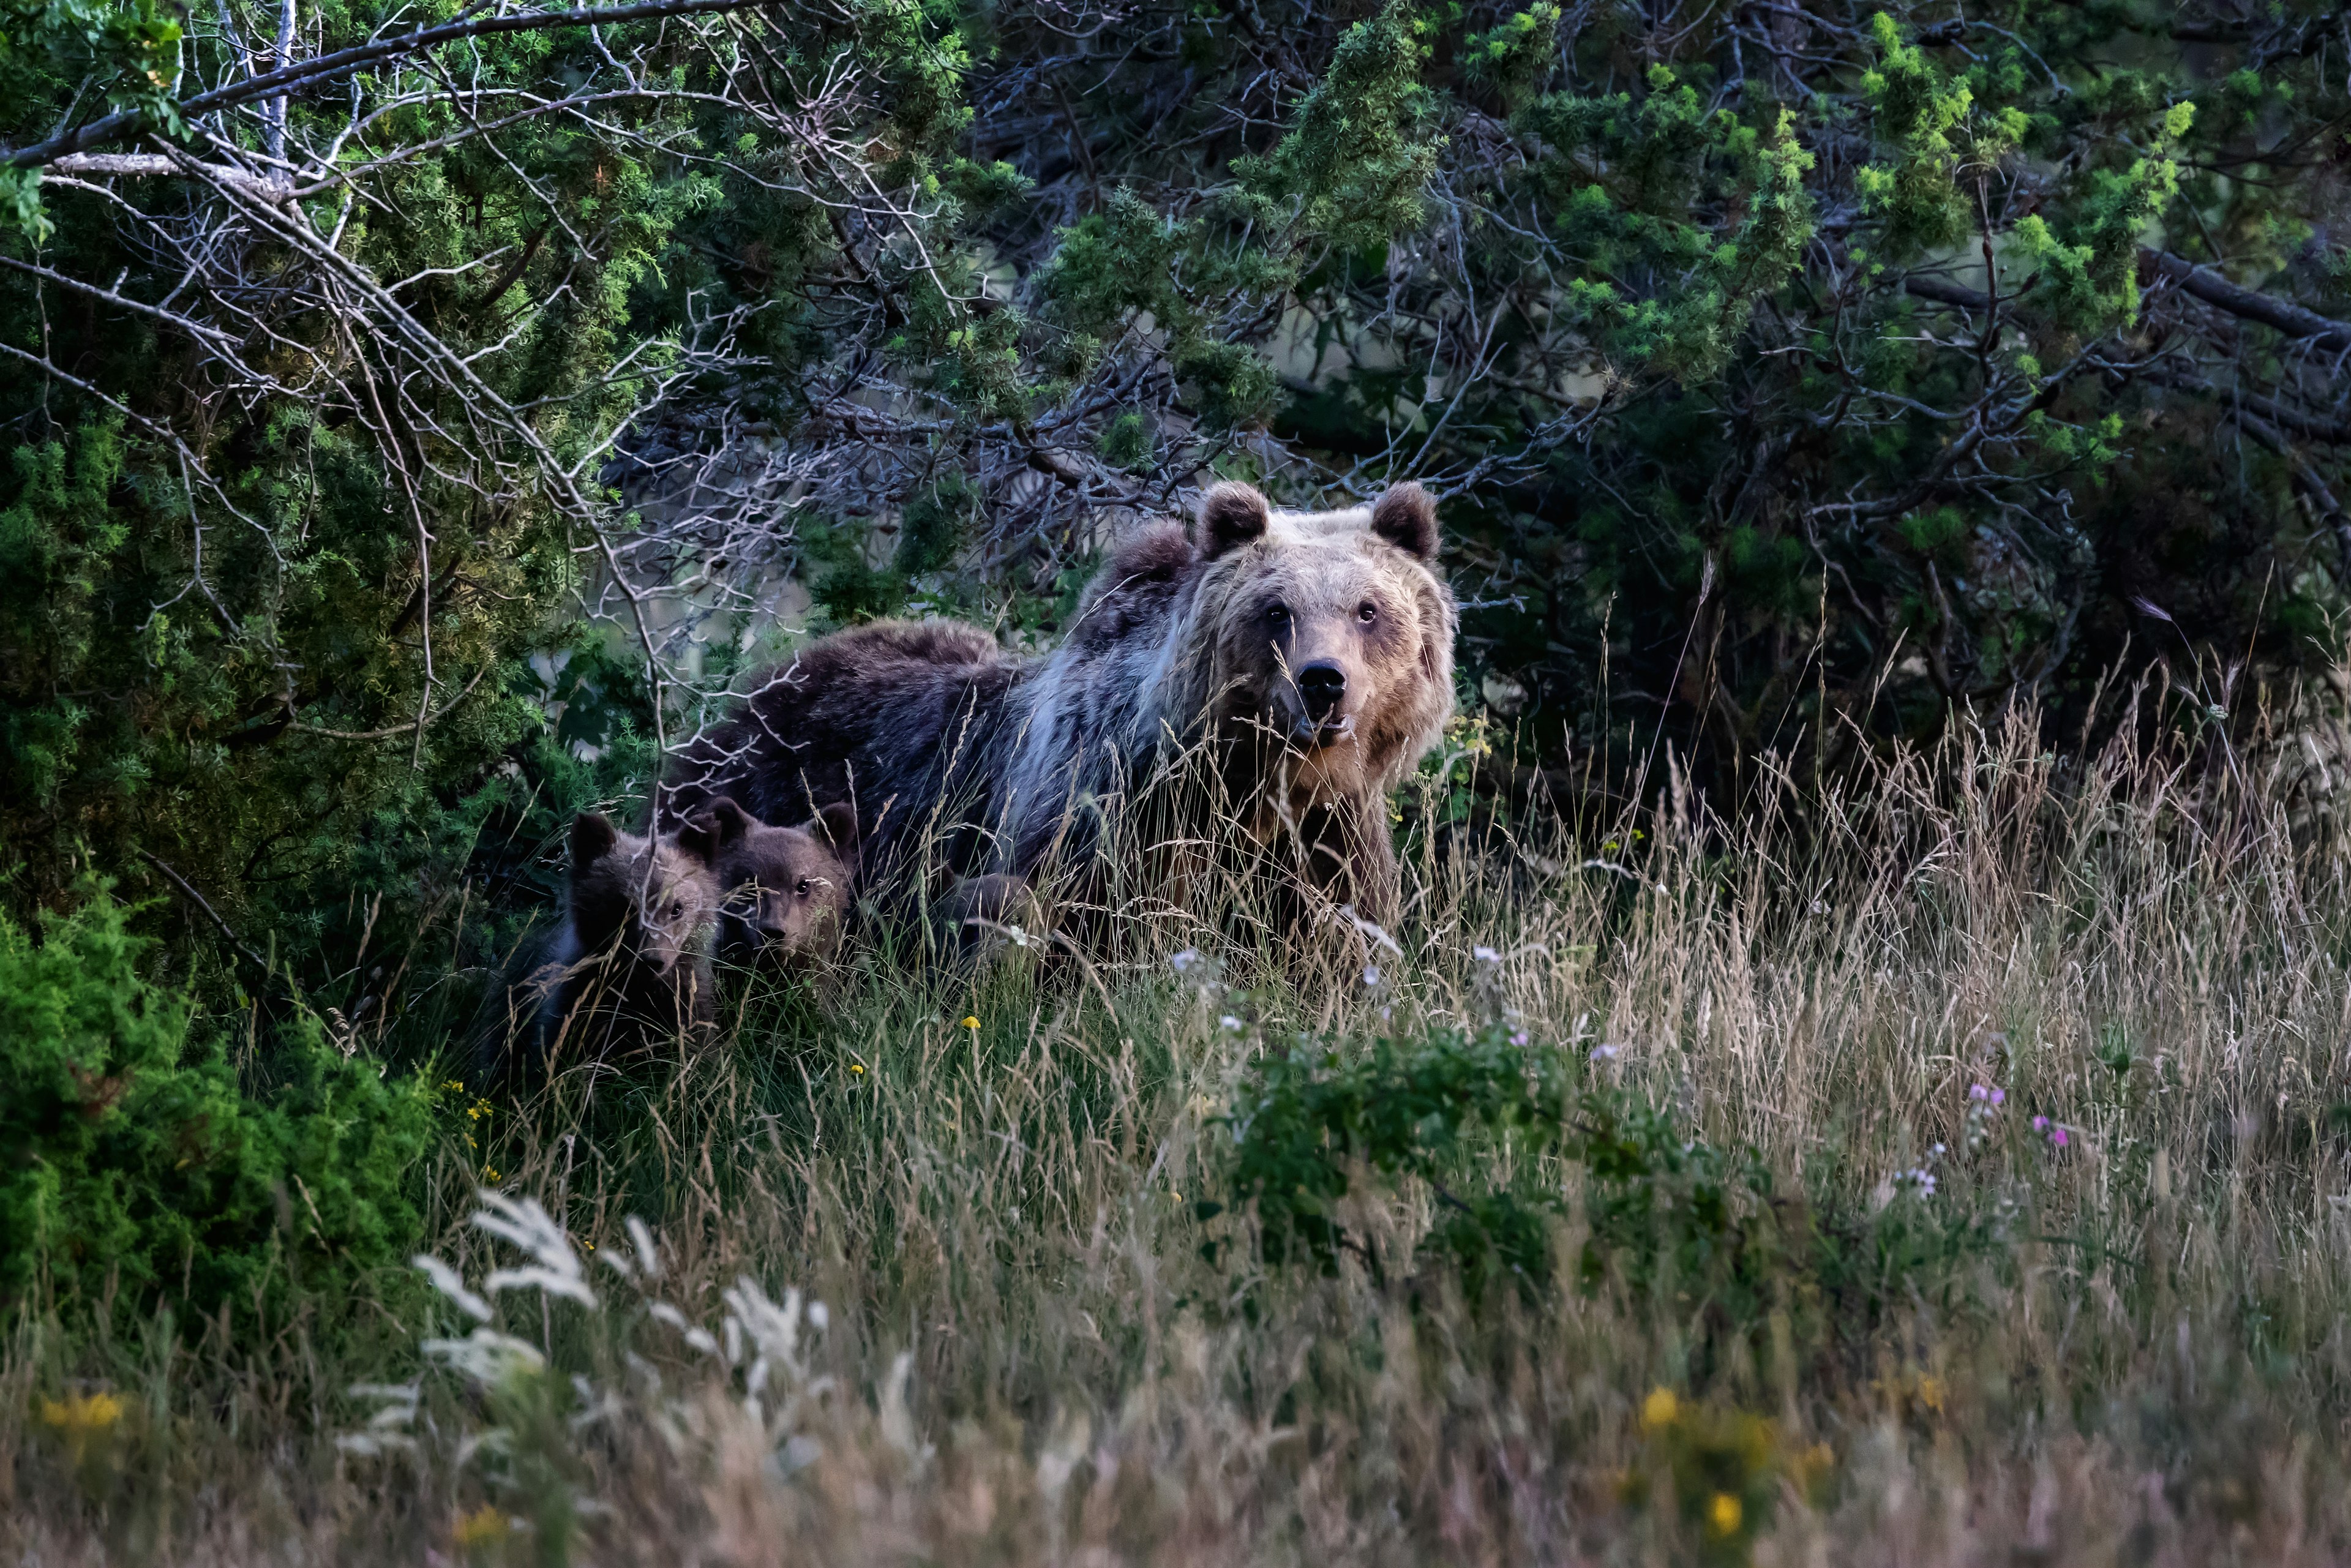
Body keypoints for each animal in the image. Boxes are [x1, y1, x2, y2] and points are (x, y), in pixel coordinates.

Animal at [662, 479, 1457, 945]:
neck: (1251, 779)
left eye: (1368, 609)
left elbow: (1333, 942)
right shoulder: (1110, 816)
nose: (1324, 682)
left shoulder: (1327, 836)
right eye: (1277, 609)